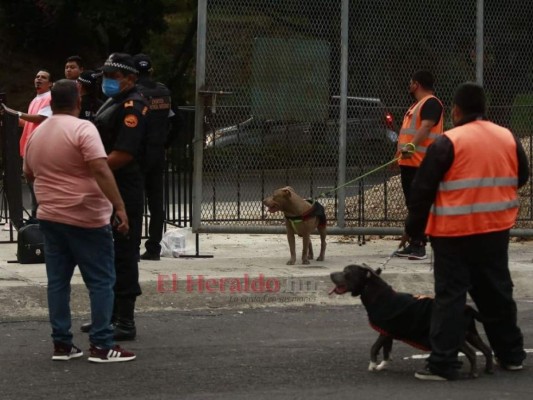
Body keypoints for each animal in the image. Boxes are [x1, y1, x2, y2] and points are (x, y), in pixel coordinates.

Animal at [330, 264, 492, 376]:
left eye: (347, 272)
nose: (331, 274)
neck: (379, 296)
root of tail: (467, 309)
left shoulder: (384, 331)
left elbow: (374, 347)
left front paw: (372, 365)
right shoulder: (387, 332)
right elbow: (386, 350)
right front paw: (383, 365)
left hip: (455, 335)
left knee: (472, 353)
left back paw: (473, 373)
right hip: (471, 333)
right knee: (486, 349)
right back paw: (488, 369)